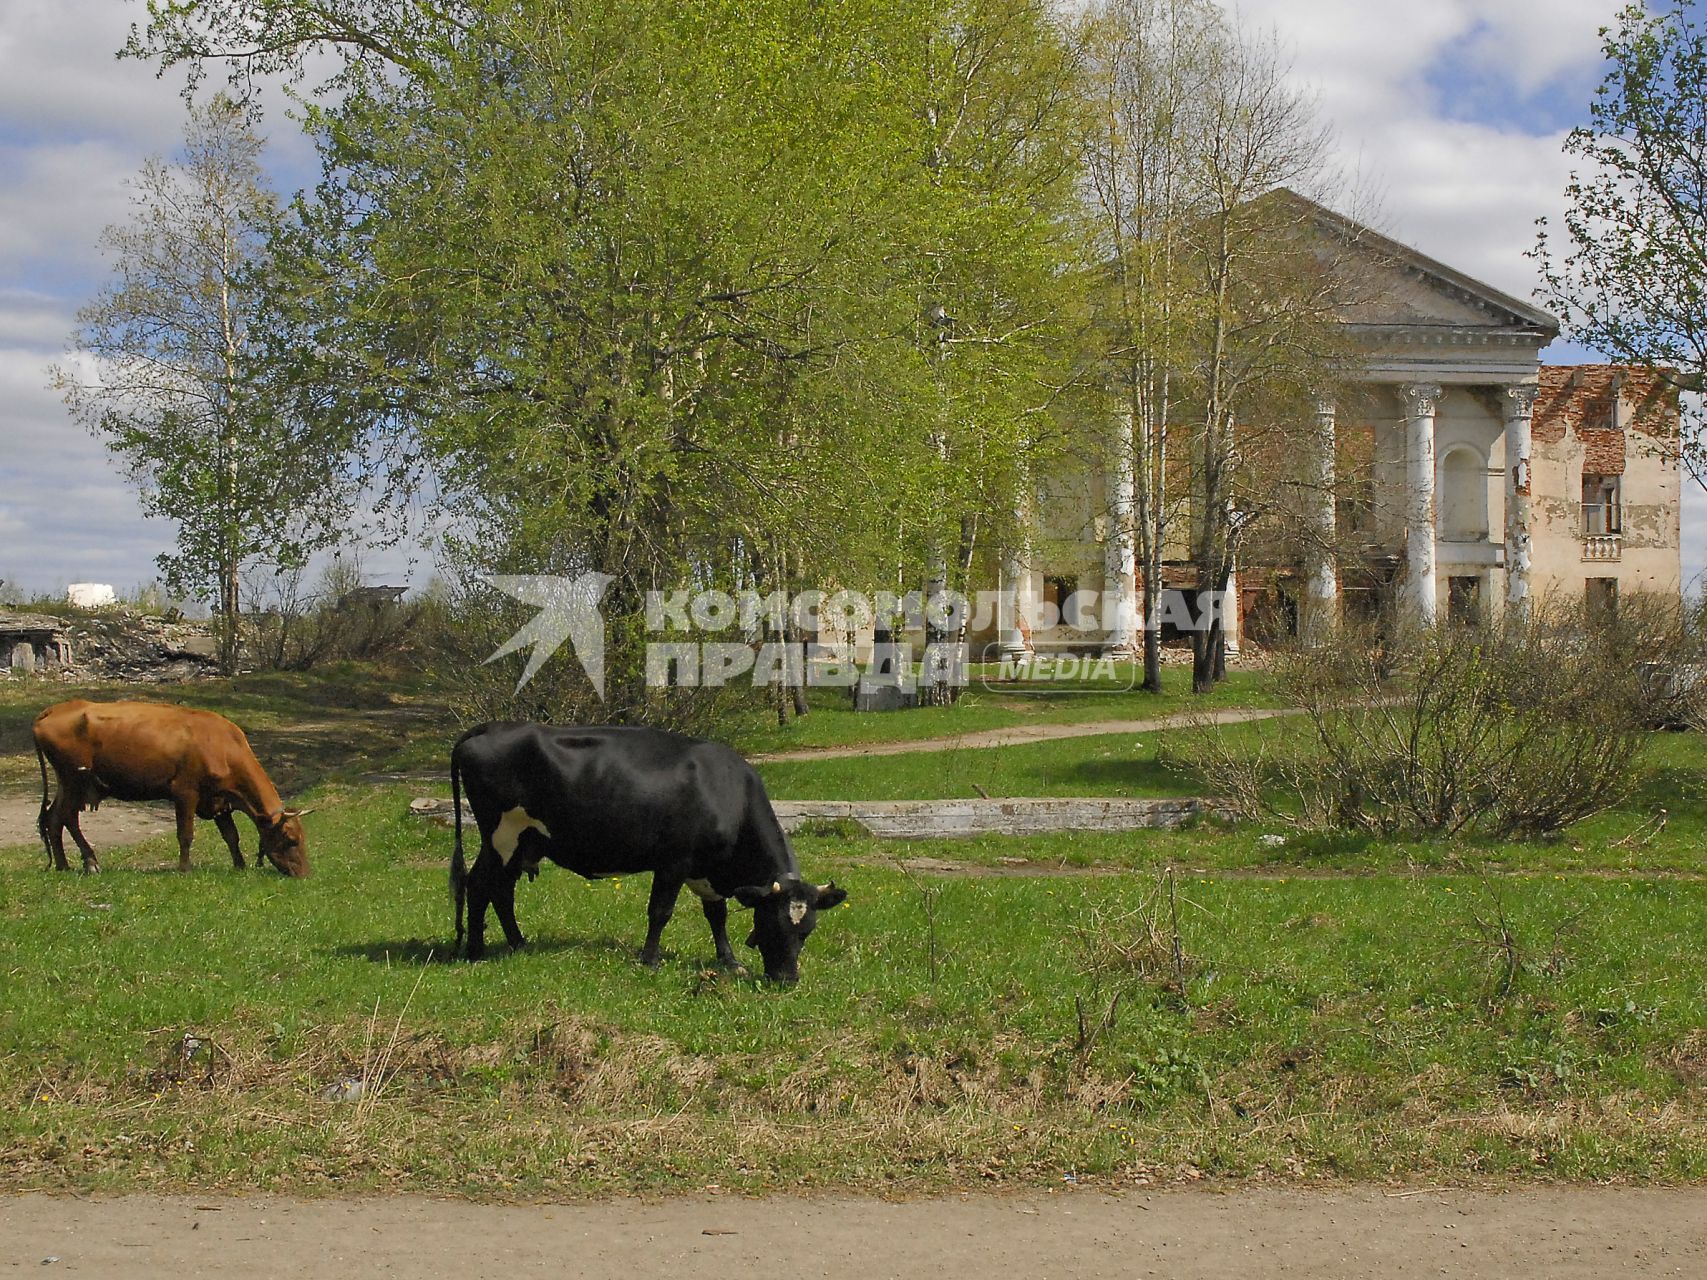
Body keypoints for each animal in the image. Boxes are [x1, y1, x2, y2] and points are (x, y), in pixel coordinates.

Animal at [33, 703, 312, 880]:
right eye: (291, 839)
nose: (304, 875)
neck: (222, 745)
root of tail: (55, 709)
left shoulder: (219, 800)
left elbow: (232, 836)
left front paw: (240, 865)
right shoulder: (185, 793)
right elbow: (185, 834)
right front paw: (185, 868)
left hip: (68, 784)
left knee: (55, 818)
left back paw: (65, 865)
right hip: (73, 781)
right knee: (64, 818)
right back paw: (85, 863)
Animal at [447, 727, 846, 989]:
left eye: (807, 931)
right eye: (771, 924)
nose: (787, 979)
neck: (728, 792)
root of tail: (494, 727)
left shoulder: (706, 871)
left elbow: (716, 916)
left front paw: (730, 961)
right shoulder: (673, 861)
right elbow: (660, 912)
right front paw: (650, 960)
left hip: (525, 842)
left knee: (500, 889)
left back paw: (518, 944)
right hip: (501, 834)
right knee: (480, 885)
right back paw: (476, 950)